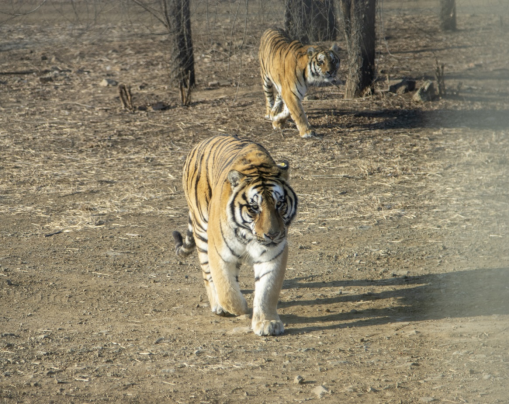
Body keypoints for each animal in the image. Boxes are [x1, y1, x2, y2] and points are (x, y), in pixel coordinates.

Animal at [172, 134, 296, 336]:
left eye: (280, 204)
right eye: (254, 208)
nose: (272, 235)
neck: (248, 236)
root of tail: (202, 142)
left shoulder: (273, 254)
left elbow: (267, 290)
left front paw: (267, 322)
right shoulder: (219, 254)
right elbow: (227, 291)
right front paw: (241, 308)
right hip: (202, 230)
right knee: (208, 274)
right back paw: (218, 306)